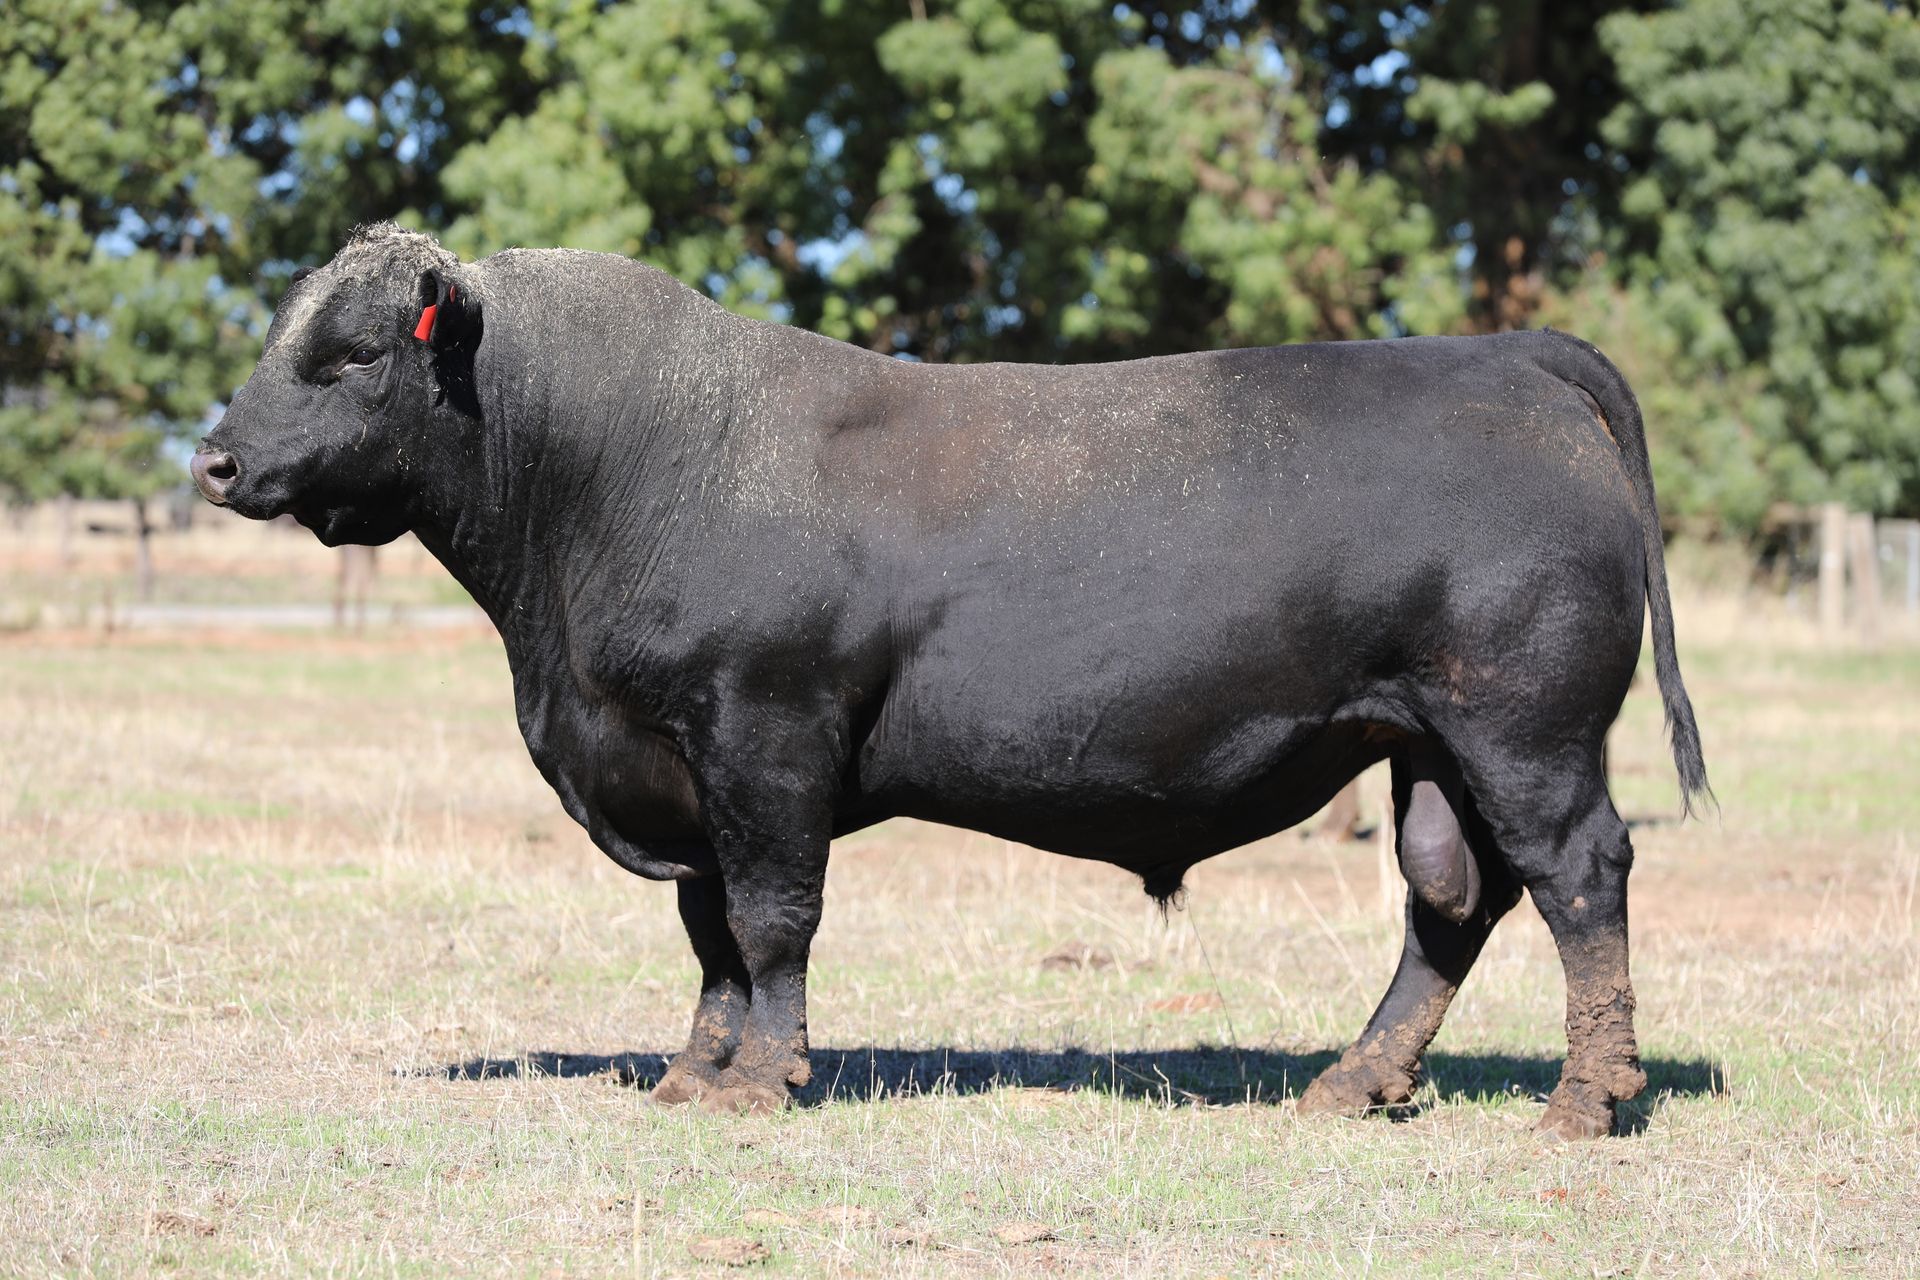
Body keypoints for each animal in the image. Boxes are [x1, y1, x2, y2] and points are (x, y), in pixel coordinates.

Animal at [192, 224, 1708, 1138]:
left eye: (350, 354)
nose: (211, 459)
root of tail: (1503, 357)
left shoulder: (764, 735)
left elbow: (772, 921)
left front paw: (761, 1078)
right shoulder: (677, 767)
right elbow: (709, 934)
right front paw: (691, 1071)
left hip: (1525, 730)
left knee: (1581, 880)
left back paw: (1588, 1097)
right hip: (1427, 743)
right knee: (1452, 900)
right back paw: (1355, 1081)